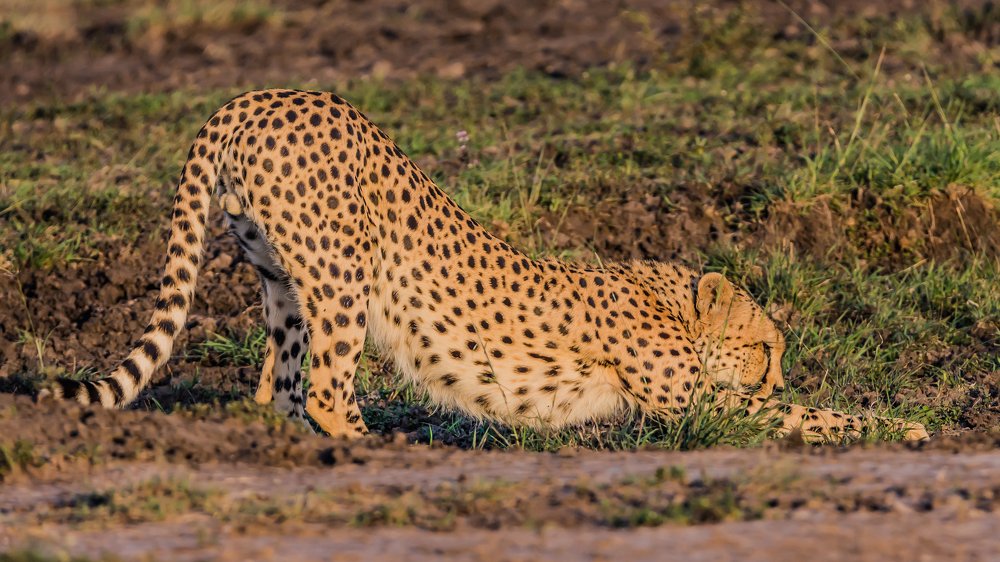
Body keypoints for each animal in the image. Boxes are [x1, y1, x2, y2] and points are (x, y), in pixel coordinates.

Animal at [43, 89, 929, 443]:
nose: (771, 377)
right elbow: (814, 416)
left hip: (282, 277)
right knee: (324, 387)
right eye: (764, 349)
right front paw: (901, 425)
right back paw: (376, 448)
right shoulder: (692, 406)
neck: (666, 297)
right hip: (343, 272)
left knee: (280, 386)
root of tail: (258, 96)